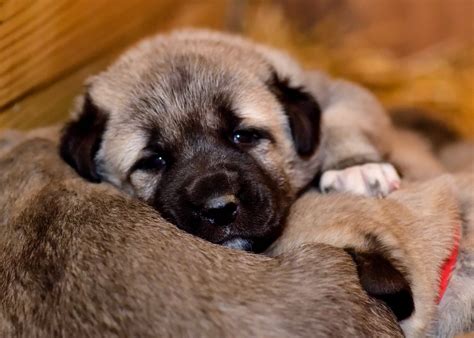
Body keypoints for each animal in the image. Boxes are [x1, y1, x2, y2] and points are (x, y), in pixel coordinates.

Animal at [58, 28, 400, 251]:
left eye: (244, 135)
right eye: (154, 160)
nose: (219, 209)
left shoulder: (341, 92)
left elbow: (341, 120)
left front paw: (355, 166)